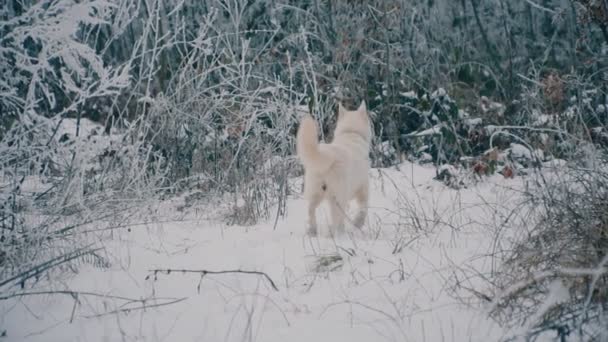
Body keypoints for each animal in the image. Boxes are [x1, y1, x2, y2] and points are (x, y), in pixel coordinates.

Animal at [294, 100, 370, 236]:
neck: (351, 133)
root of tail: (329, 153)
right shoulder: (363, 188)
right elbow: (363, 209)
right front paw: (357, 223)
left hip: (315, 192)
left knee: (310, 210)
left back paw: (312, 231)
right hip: (338, 198)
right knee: (336, 220)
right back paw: (339, 234)